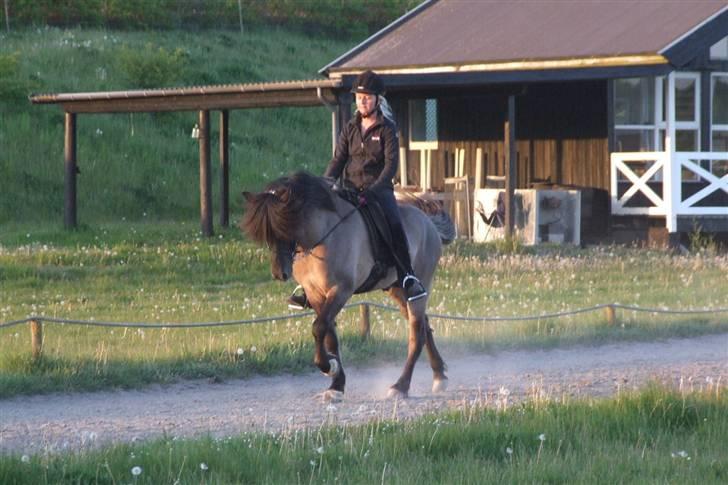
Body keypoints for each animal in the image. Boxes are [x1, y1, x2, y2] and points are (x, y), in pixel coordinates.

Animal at [240, 170, 456, 400]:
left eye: (286, 224)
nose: (279, 273)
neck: (322, 236)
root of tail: (428, 222)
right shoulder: (316, 293)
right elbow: (329, 336)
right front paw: (336, 384)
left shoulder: (341, 290)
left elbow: (319, 327)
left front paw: (329, 367)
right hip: (397, 290)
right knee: (425, 326)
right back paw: (439, 376)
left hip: (418, 286)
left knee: (417, 333)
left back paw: (400, 386)